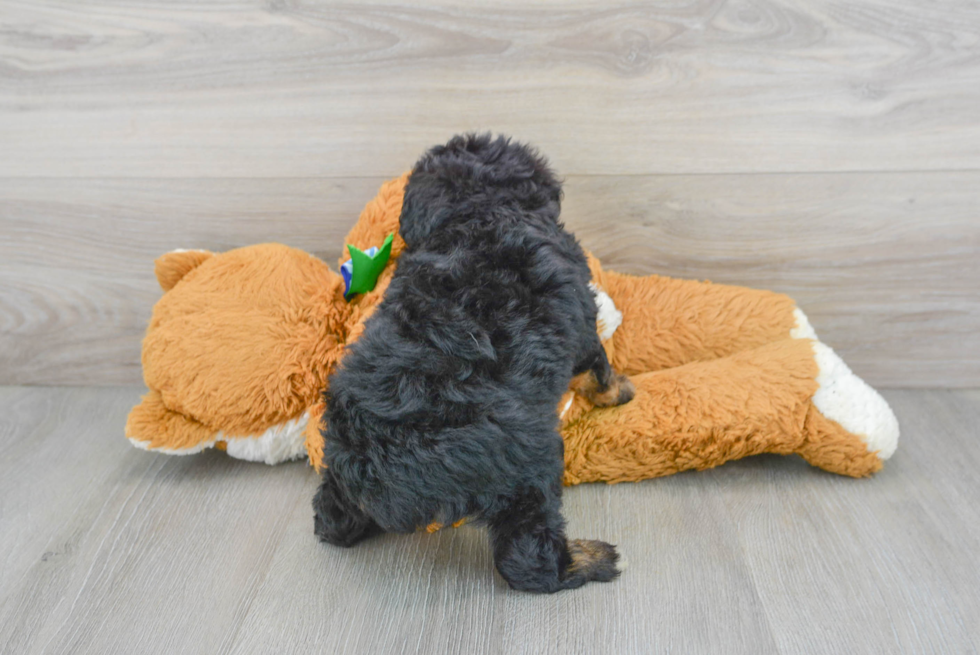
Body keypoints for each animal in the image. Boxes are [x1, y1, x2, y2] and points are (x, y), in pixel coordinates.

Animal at [314, 133, 636, 596]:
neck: (479, 208)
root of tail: (379, 467)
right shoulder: (581, 317)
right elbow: (598, 365)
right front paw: (620, 390)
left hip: (337, 464)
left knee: (331, 516)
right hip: (527, 464)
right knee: (527, 557)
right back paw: (593, 559)